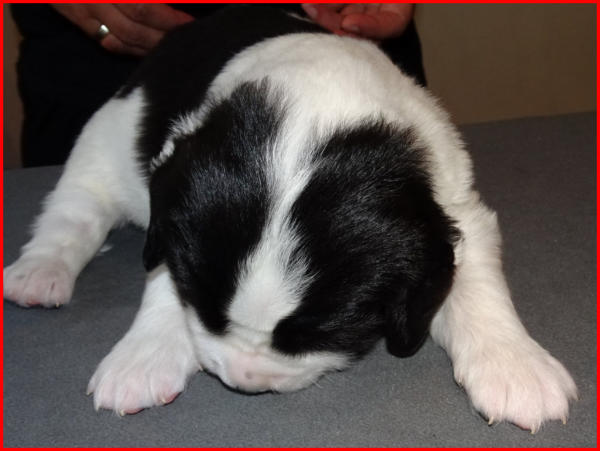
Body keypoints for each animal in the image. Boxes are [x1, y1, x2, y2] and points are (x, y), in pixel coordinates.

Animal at [3, 6, 576, 431]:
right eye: (207, 310)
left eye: (316, 334)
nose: (244, 381)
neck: (318, 107)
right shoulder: (175, 184)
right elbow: (166, 273)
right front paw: (144, 355)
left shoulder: (453, 207)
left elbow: (475, 284)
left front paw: (517, 366)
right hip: (108, 135)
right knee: (76, 207)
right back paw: (41, 271)